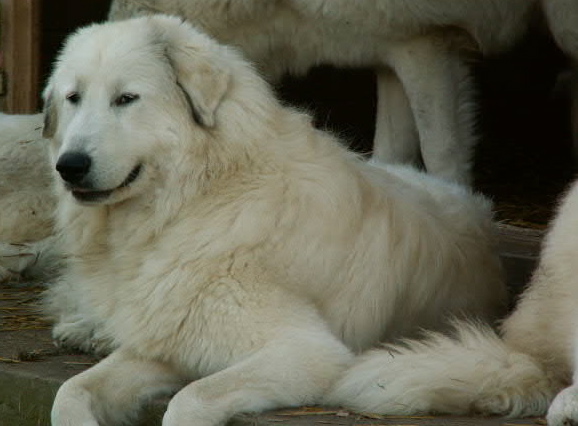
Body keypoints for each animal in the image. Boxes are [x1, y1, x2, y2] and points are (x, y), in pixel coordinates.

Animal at [33, 15, 506, 424]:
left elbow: (190, 398)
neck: (200, 197)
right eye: (73, 98)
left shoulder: (307, 352)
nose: (69, 166)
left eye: (126, 99)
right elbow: (70, 392)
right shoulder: (166, 345)